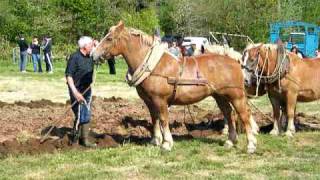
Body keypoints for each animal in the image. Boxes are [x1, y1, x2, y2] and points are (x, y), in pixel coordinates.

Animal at [92, 21, 258, 153]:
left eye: (109, 38)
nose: (93, 55)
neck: (154, 67)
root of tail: (235, 62)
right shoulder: (149, 101)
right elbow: (154, 119)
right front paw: (155, 140)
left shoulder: (160, 100)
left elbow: (164, 119)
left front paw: (166, 143)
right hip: (220, 97)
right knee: (228, 114)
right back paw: (230, 141)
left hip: (236, 96)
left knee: (244, 115)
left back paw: (250, 145)